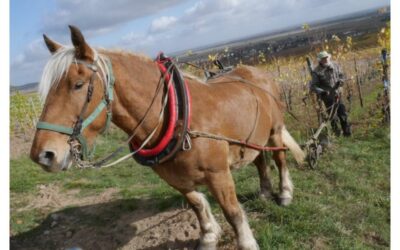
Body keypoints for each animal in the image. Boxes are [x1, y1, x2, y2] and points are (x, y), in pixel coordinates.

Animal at [30, 25, 304, 250]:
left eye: (78, 85)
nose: (43, 155)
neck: (175, 117)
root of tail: (257, 73)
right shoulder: (174, 177)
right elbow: (197, 204)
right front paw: (208, 237)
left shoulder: (218, 174)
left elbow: (232, 211)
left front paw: (246, 242)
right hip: (250, 139)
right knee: (259, 161)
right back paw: (265, 192)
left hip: (274, 132)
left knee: (280, 160)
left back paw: (284, 193)